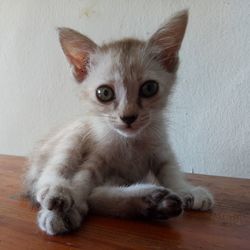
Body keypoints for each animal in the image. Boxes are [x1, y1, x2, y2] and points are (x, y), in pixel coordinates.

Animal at [24, 9, 214, 235]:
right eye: (104, 93)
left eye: (149, 88)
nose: (128, 117)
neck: (130, 143)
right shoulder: (96, 158)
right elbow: (82, 180)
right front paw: (65, 206)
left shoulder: (161, 149)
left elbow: (171, 171)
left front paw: (187, 190)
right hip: (76, 132)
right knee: (56, 171)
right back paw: (57, 193)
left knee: (95, 195)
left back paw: (152, 202)